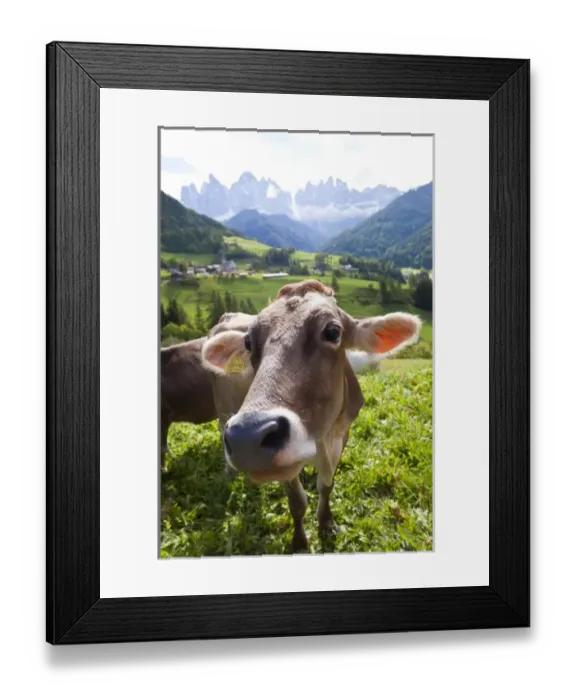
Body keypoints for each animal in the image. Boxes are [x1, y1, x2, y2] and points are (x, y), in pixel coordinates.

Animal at [200, 280, 422, 552]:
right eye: (249, 343)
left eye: (333, 332)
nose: (247, 437)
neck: (318, 438)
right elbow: (297, 502)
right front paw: (299, 543)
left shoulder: (340, 436)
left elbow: (326, 486)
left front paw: (326, 523)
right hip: (223, 409)